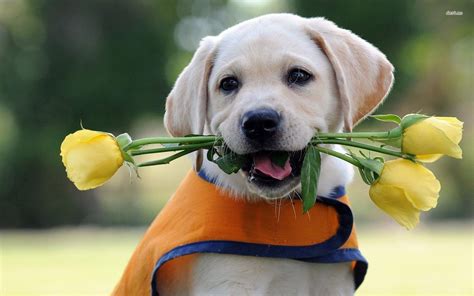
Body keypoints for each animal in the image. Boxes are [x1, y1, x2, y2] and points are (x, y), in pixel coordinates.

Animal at [162, 12, 392, 294]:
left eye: (299, 76)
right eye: (228, 84)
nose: (259, 122)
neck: (282, 208)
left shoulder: (333, 283)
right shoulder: (230, 283)